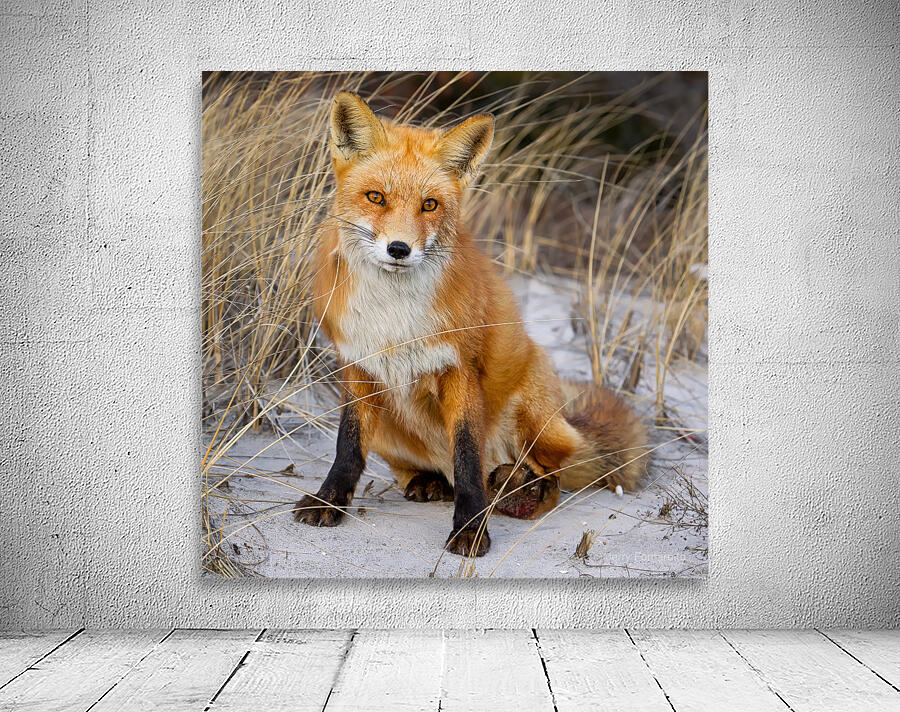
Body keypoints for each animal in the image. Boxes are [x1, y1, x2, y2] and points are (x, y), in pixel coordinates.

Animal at [293, 91, 648, 557]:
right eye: (376, 197)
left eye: (429, 204)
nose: (399, 249)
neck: (394, 316)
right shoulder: (357, 367)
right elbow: (348, 448)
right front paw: (329, 501)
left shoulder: (460, 370)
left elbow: (466, 458)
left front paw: (470, 529)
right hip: (388, 424)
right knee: (430, 470)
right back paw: (429, 482)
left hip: (533, 406)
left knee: (546, 477)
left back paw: (520, 491)